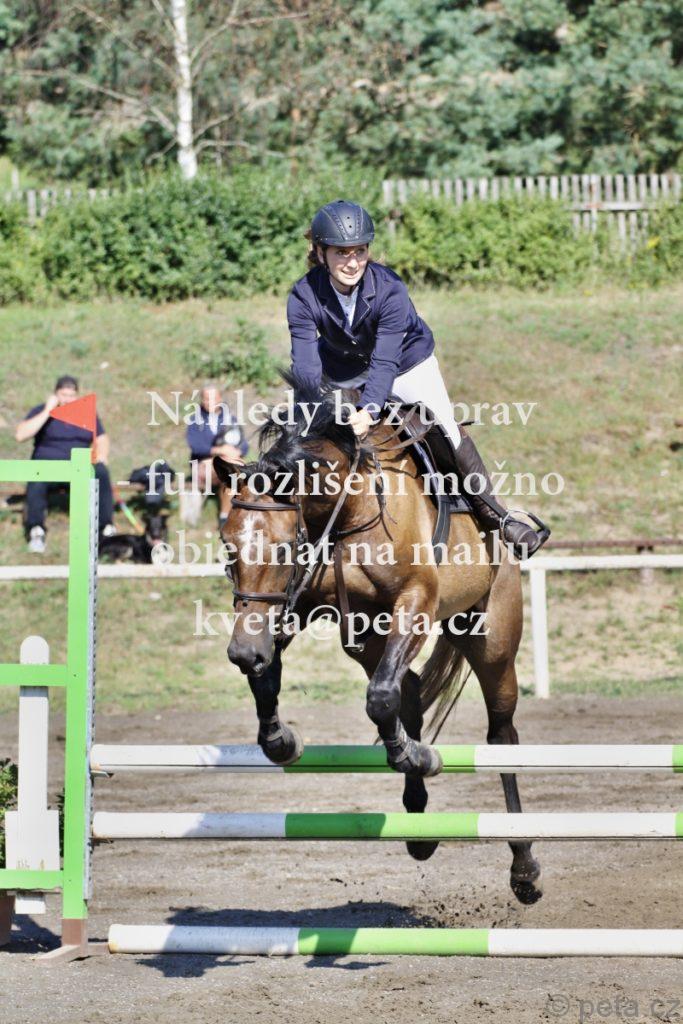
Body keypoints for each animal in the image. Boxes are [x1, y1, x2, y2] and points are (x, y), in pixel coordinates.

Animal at [215, 378, 542, 904]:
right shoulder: (293, 606)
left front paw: (416, 755)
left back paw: (524, 867)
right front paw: (282, 741)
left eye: (283, 548)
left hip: (490, 640)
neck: (349, 508)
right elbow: (276, 682)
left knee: (498, 732)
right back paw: (419, 827)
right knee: (407, 691)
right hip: (368, 636)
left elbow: (381, 698)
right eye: (228, 547)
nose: (243, 651)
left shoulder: (416, 600)